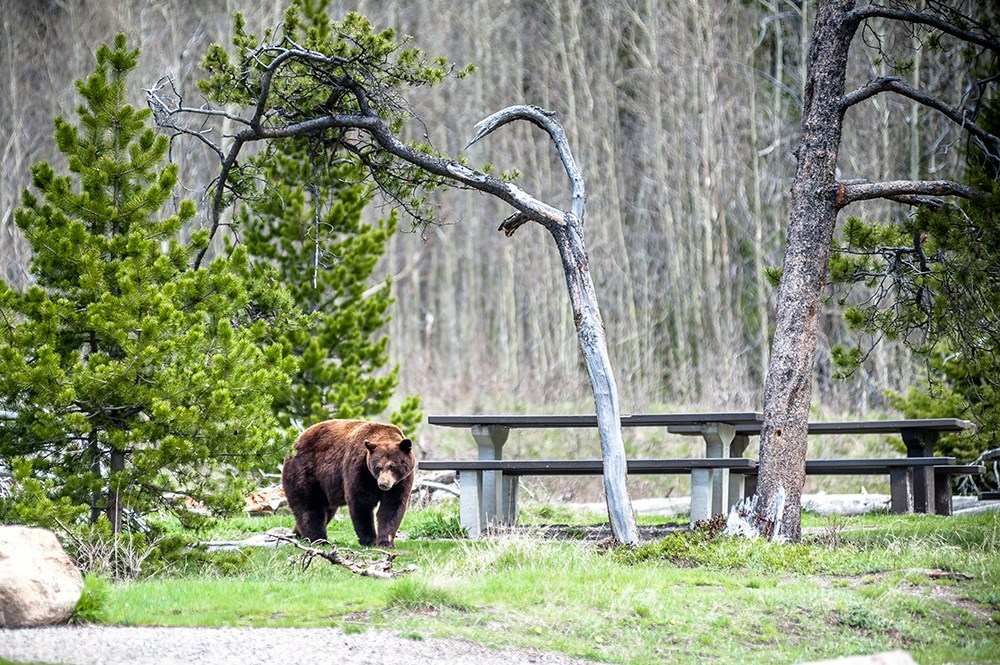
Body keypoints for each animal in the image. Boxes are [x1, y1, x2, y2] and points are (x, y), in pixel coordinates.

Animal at [284, 418, 416, 548]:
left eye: (392, 466)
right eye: (378, 467)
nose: (383, 484)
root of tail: (296, 442)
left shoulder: (401, 481)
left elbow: (392, 506)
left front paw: (386, 542)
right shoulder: (359, 469)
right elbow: (361, 502)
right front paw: (370, 540)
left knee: (326, 510)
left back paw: (298, 534)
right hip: (306, 471)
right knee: (309, 506)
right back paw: (318, 539)